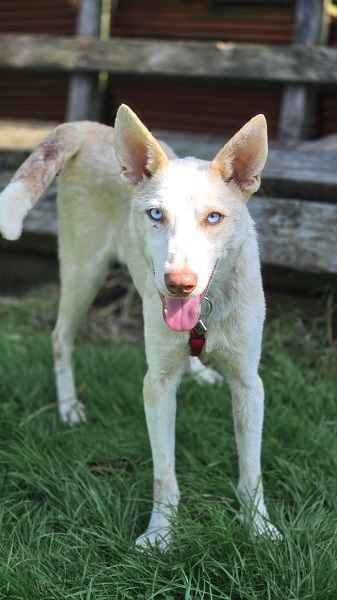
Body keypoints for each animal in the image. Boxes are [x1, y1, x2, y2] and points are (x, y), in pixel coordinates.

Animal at [0, 105, 278, 548]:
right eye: (156, 215)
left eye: (214, 217)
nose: (178, 283)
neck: (207, 309)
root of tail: (92, 128)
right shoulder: (157, 385)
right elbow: (164, 473)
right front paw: (161, 533)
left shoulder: (249, 384)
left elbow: (251, 471)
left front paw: (259, 528)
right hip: (84, 272)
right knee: (60, 337)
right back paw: (69, 407)